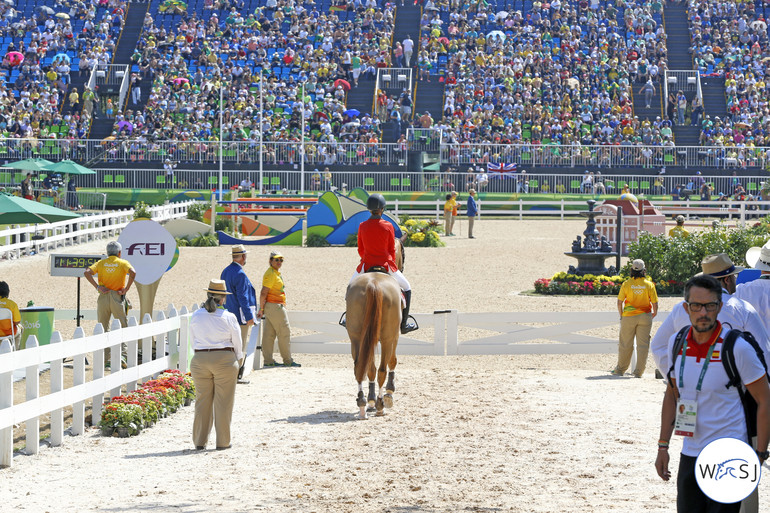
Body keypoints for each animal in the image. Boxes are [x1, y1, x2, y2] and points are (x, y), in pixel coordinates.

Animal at [342, 238, 402, 418]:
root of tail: (373, 283)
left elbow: (369, 368)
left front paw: (370, 400)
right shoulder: (394, 335)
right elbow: (392, 361)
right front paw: (389, 394)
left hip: (356, 337)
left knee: (360, 367)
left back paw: (363, 403)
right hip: (388, 337)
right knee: (381, 369)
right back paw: (381, 404)